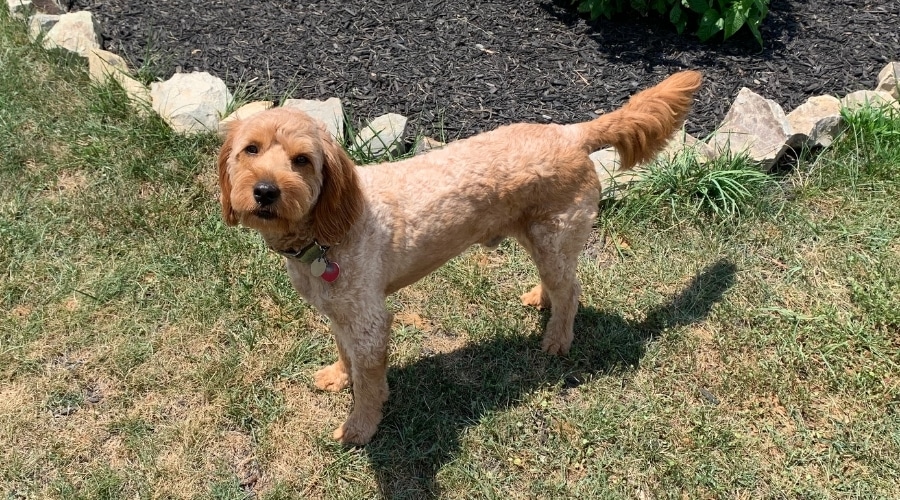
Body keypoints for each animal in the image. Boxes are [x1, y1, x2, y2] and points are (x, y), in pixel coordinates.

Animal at [216, 71, 704, 446]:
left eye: (302, 160)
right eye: (251, 149)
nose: (265, 191)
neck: (326, 233)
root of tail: (570, 132)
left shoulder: (370, 321)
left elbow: (371, 383)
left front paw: (360, 428)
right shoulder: (339, 313)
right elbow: (344, 352)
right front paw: (339, 376)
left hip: (556, 235)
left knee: (572, 290)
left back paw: (557, 339)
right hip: (541, 238)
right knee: (559, 283)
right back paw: (540, 299)